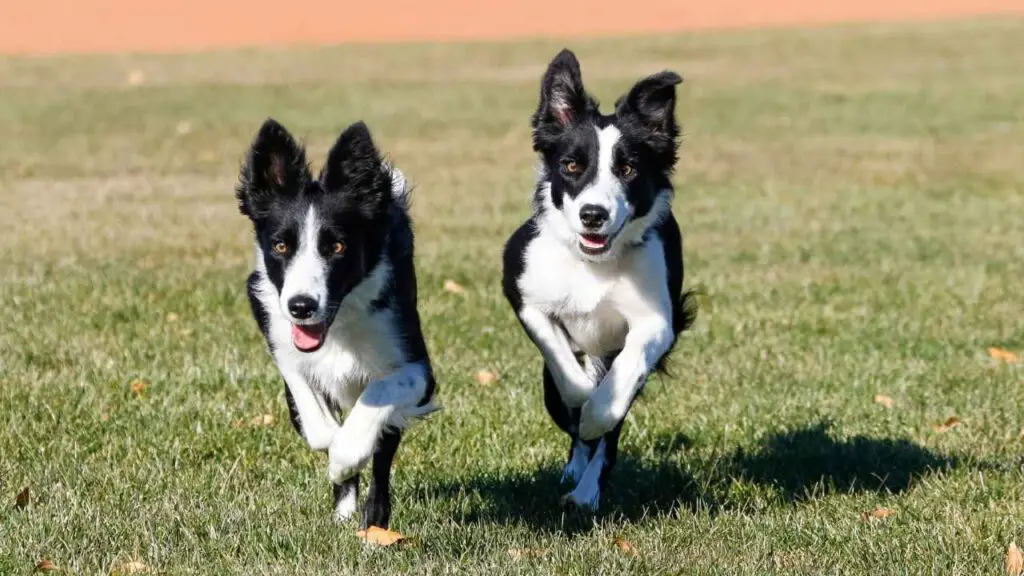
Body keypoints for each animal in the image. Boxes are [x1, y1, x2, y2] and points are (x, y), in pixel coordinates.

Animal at [237, 118, 438, 528]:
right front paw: (333, 445)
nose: (301, 306)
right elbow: (312, 414)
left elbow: (379, 395)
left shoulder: (418, 370)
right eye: (280, 246)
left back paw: (373, 522)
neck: (339, 323)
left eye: (338, 247)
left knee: (382, 453)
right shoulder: (281, 341)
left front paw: (345, 455)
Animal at [501, 48, 696, 506]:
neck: (594, 263)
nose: (593, 215)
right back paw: (576, 467)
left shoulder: (657, 320)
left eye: (628, 169)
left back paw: (586, 492)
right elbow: (567, 374)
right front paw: (584, 404)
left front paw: (597, 415)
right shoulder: (523, 292)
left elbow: (622, 382)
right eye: (572, 165)